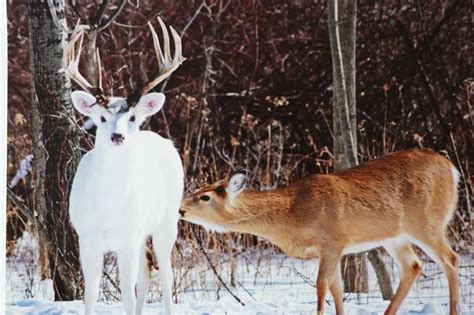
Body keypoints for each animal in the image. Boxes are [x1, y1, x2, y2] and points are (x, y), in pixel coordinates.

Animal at [66, 17, 183, 315]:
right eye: (101, 118)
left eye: (131, 117)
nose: (117, 136)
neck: (108, 206)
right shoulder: (87, 238)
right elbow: (90, 293)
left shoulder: (127, 238)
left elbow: (127, 295)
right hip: (142, 232)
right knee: (147, 270)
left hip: (167, 219)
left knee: (166, 272)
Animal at [181, 150, 460, 315]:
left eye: (204, 197)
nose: (180, 209)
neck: (293, 214)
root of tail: (452, 169)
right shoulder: (330, 250)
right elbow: (337, 289)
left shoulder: (332, 241)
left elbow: (321, 286)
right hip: (395, 236)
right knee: (413, 266)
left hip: (427, 222)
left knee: (450, 259)